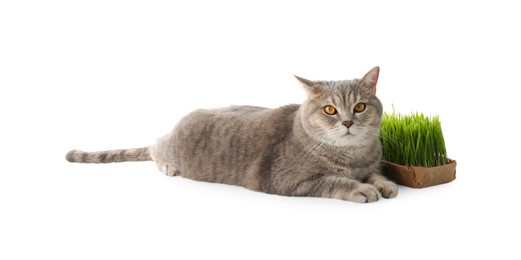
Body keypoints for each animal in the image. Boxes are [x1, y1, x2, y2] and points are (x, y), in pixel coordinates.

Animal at [66, 66, 398, 203]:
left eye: (359, 106)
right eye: (330, 110)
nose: (347, 122)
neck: (352, 155)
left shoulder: (369, 164)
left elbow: (375, 174)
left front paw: (384, 184)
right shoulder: (287, 180)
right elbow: (335, 180)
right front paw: (362, 189)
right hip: (170, 146)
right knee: (154, 146)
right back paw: (167, 165)